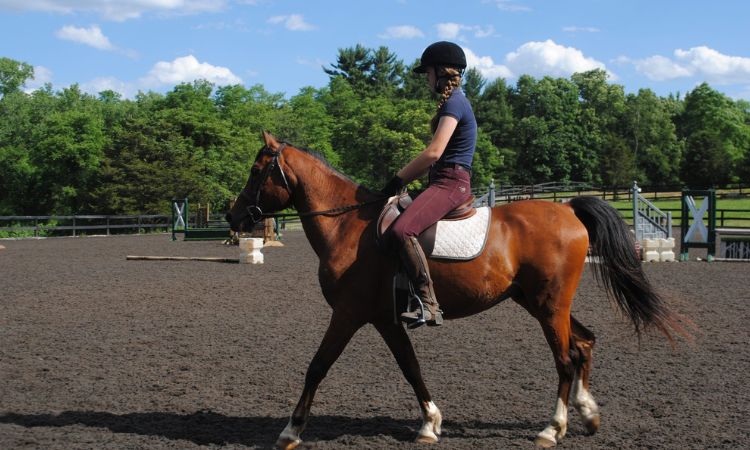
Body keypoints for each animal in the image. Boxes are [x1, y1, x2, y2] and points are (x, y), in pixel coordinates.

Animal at [226, 132, 683, 449]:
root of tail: (568, 208)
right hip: (541, 302)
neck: (348, 226)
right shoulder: (385, 319)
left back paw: (553, 429)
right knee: (584, 343)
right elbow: (410, 367)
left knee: (565, 359)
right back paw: (587, 414)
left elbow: (318, 366)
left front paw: (291, 430)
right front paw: (430, 423)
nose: (233, 216)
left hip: (549, 306)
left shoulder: (348, 314)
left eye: (257, 170)